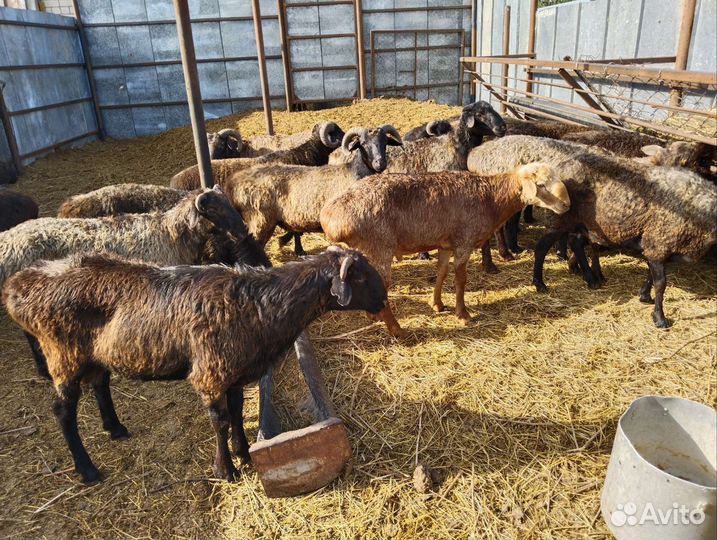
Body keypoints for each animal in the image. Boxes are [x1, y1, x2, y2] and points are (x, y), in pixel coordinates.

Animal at [2, 247, 387, 482]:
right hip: (62, 353)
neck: (263, 304)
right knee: (62, 411)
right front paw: (225, 470)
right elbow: (220, 420)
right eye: (361, 277)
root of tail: (19, 285)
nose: (383, 299)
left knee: (100, 384)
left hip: (94, 353)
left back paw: (115, 428)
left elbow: (236, 411)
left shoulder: (233, 371)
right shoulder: (210, 372)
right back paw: (87, 469)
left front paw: (243, 453)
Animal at [216, 125, 402, 246]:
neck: (353, 172)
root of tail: (233, 183)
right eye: (363, 144)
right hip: (259, 221)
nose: (380, 163)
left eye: (385, 142)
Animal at [320, 163, 571, 337]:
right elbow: (461, 279)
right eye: (541, 185)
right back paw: (398, 330)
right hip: (380, 247)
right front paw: (463, 314)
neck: (493, 198)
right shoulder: (464, 242)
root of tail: (330, 217)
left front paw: (438, 304)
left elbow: (441, 273)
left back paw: (373, 315)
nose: (567, 205)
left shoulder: (446, 245)